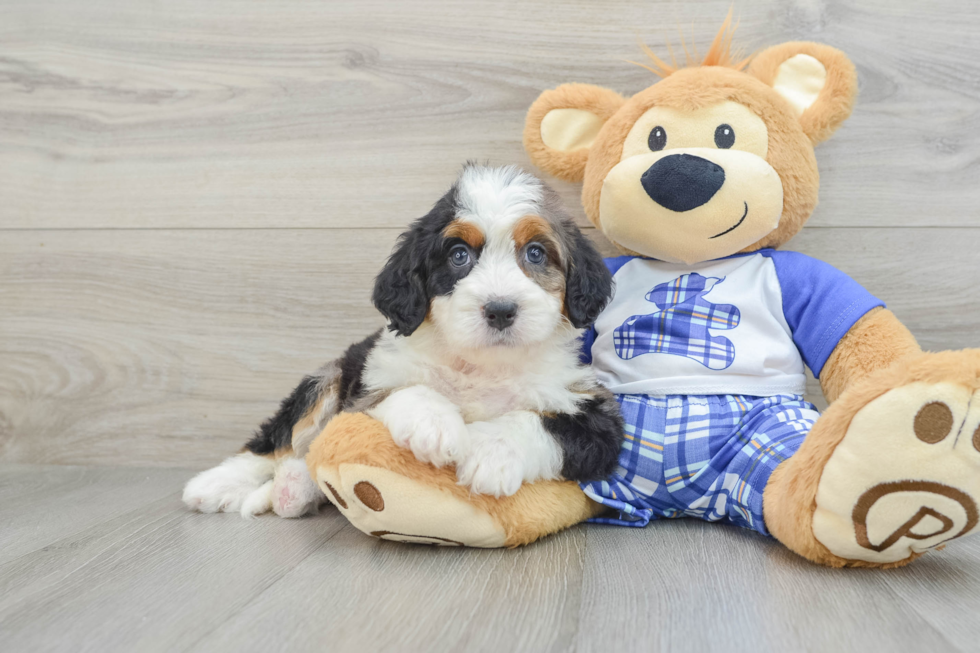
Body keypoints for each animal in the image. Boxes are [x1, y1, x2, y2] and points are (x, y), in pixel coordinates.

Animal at [184, 164, 624, 520]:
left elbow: (542, 422)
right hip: (327, 378)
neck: (481, 364)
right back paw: (217, 484)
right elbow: (404, 390)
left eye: (535, 253)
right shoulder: (369, 384)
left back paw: (292, 490)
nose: (500, 310)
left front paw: (492, 452)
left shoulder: (597, 417)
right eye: (459, 255)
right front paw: (435, 425)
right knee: (275, 442)